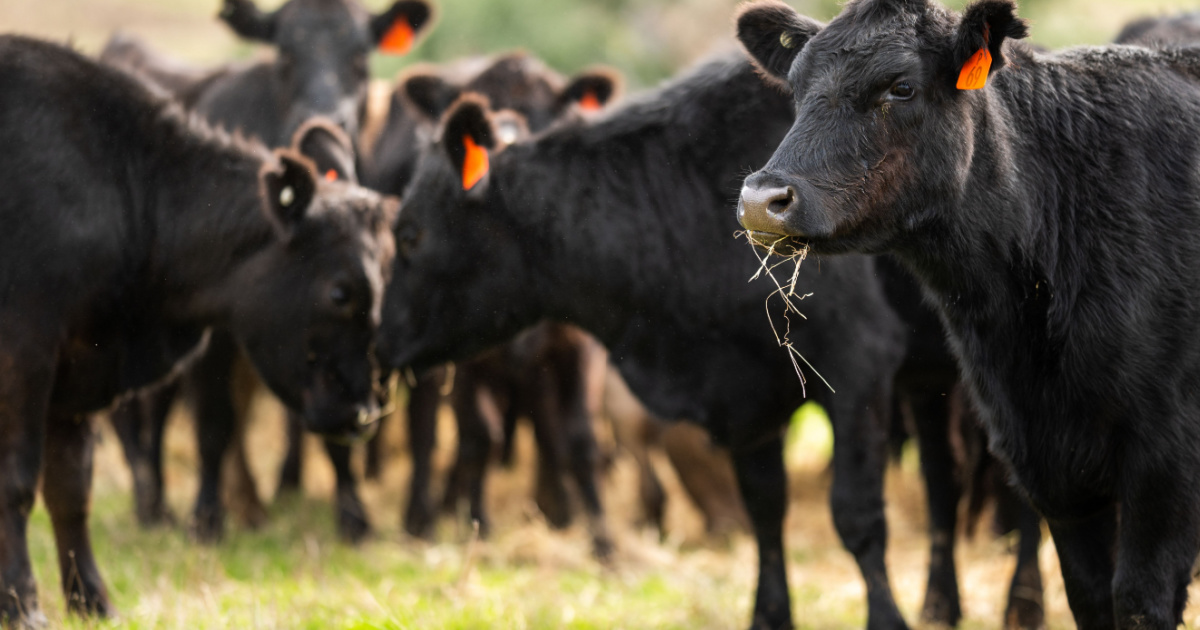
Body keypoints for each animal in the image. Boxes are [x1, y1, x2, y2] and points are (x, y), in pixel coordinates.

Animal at [0, 35, 398, 624]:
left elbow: (71, 488)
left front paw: (92, 599)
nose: (365, 412)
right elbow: (18, 481)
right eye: (339, 291)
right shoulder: (25, 353)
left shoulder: (78, 372)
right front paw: (22, 605)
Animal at [99, 0, 432, 542]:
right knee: (137, 414)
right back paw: (155, 505)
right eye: (284, 56)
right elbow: (215, 423)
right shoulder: (211, 335)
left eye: (361, 57)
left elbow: (333, 424)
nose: (325, 115)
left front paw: (352, 515)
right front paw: (207, 516)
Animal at [379, 54, 902, 628]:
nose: (380, 338)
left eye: (408, 234)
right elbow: (765, 509)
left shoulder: (858, 364)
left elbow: (857, 515)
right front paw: (770, 614)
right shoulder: (748, 397)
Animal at [734, 0, 1200, 619]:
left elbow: (1140, 600)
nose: (761, 200)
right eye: (797, 86)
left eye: (901, 87)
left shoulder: (1164, 462)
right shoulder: (1048, 465)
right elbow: (1090, 595)